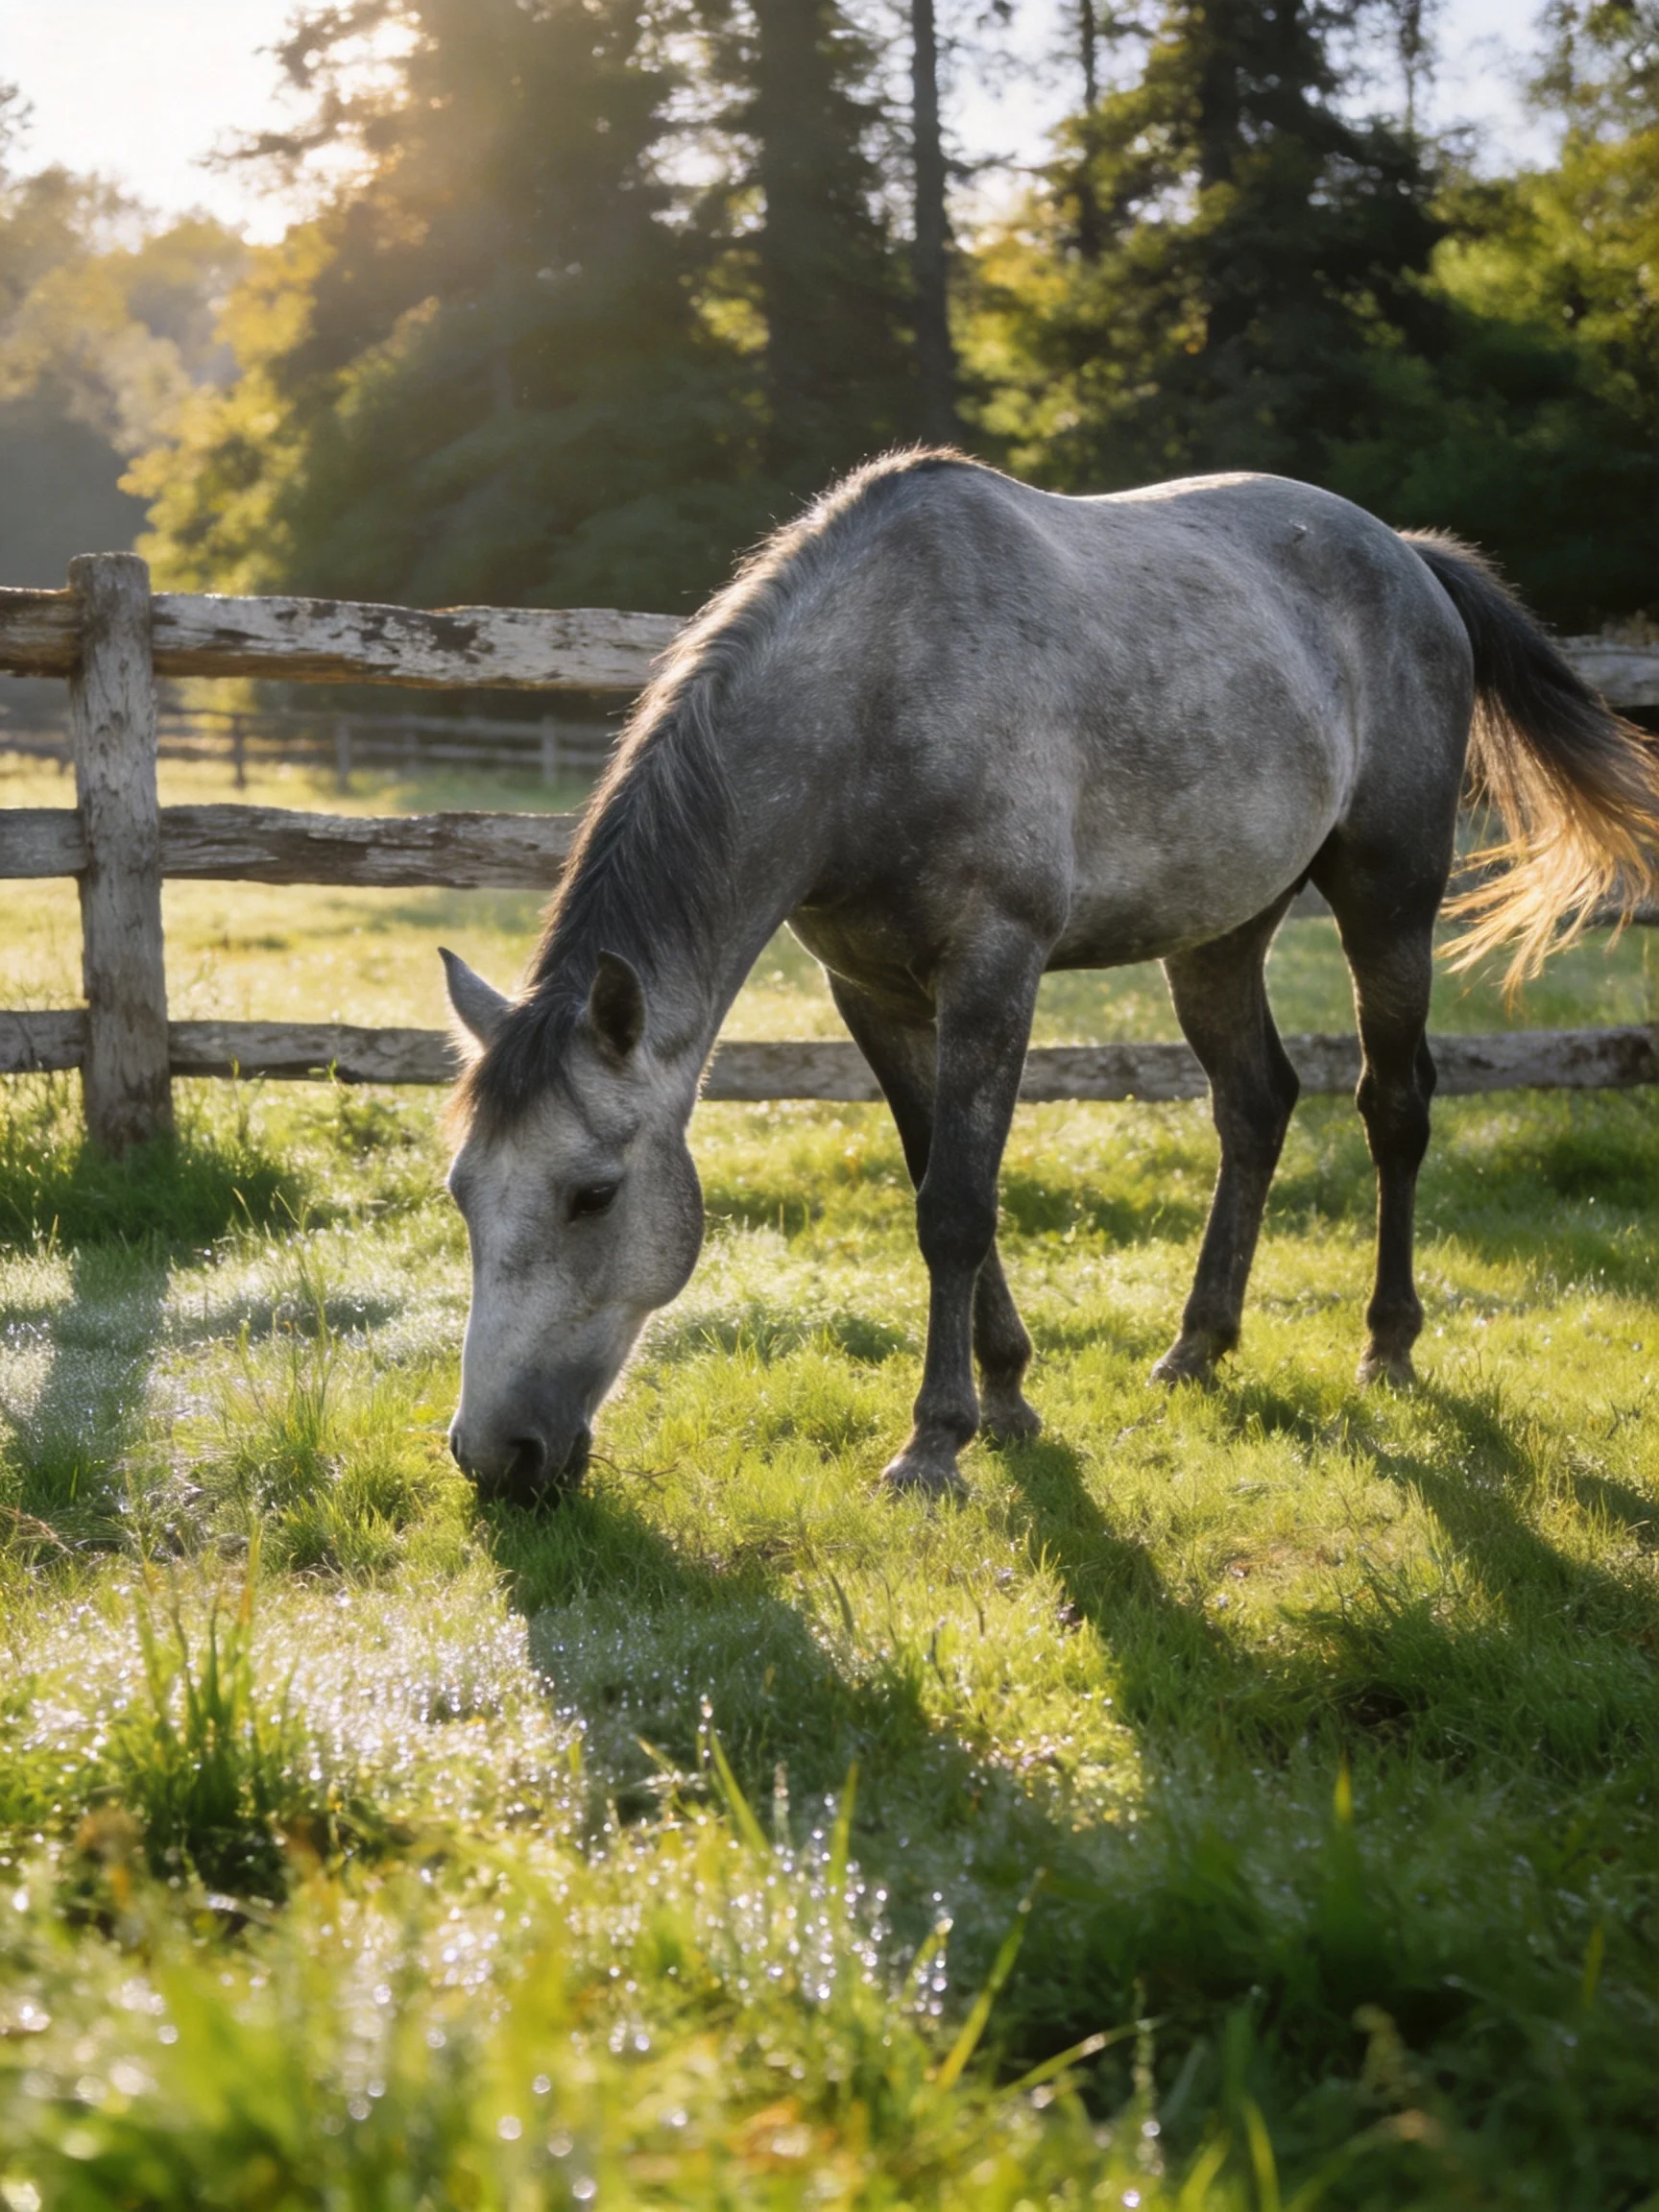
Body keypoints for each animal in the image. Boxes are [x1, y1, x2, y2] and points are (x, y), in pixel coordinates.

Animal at [439, 450, 1659, 1506]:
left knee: (1394, 1107)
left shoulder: (995, 971)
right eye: (461, 1193)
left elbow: (956, 1207)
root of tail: (1409, 556)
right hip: (1220, 932)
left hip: (1390, 899)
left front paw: (937, 1442)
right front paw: (1010, 1398)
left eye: (593, 1195)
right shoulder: (871, 994)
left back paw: (1388, 1348)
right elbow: (937, 1176)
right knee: (1254, 1103)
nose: (495, 1456)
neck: (877, 697)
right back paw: (1198, 1345)